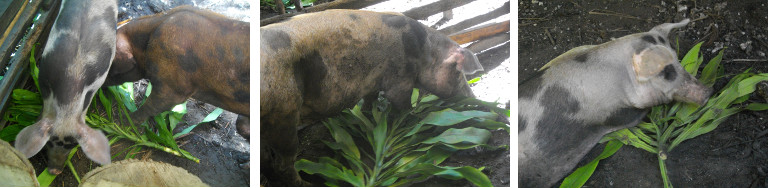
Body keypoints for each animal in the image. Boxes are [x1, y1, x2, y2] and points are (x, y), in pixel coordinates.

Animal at [260, 9, 484, 186]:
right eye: (459, 74)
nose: (473, 99)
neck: (425, 52)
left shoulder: (374, 82)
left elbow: (369, 100)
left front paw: (370, 117)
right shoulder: (399, 77)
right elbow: (402, 103)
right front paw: (409, 120)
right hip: (283, 113)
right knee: (282, 163)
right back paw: (307, 184)